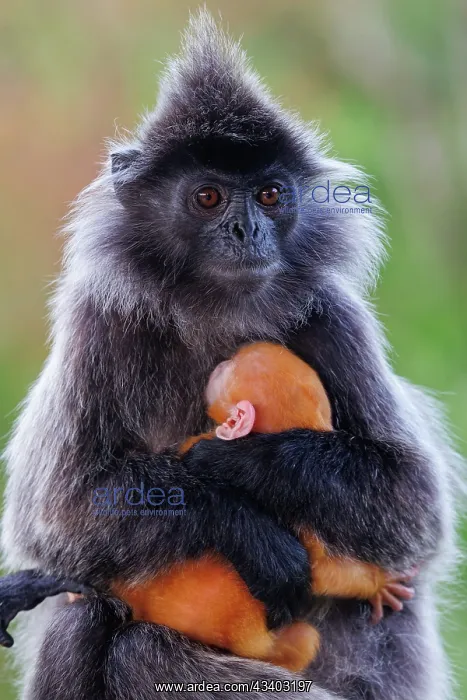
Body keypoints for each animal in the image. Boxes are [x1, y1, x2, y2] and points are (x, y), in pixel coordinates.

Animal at [1, 10, 458, 700]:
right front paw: (252, 532)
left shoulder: (333, 319)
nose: (248, 230)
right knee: (85, 613)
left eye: (269, 195)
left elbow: (414, 507)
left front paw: (241, 461)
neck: (220, 314)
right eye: (209, 198)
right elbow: (58, 514)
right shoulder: (99, 321)